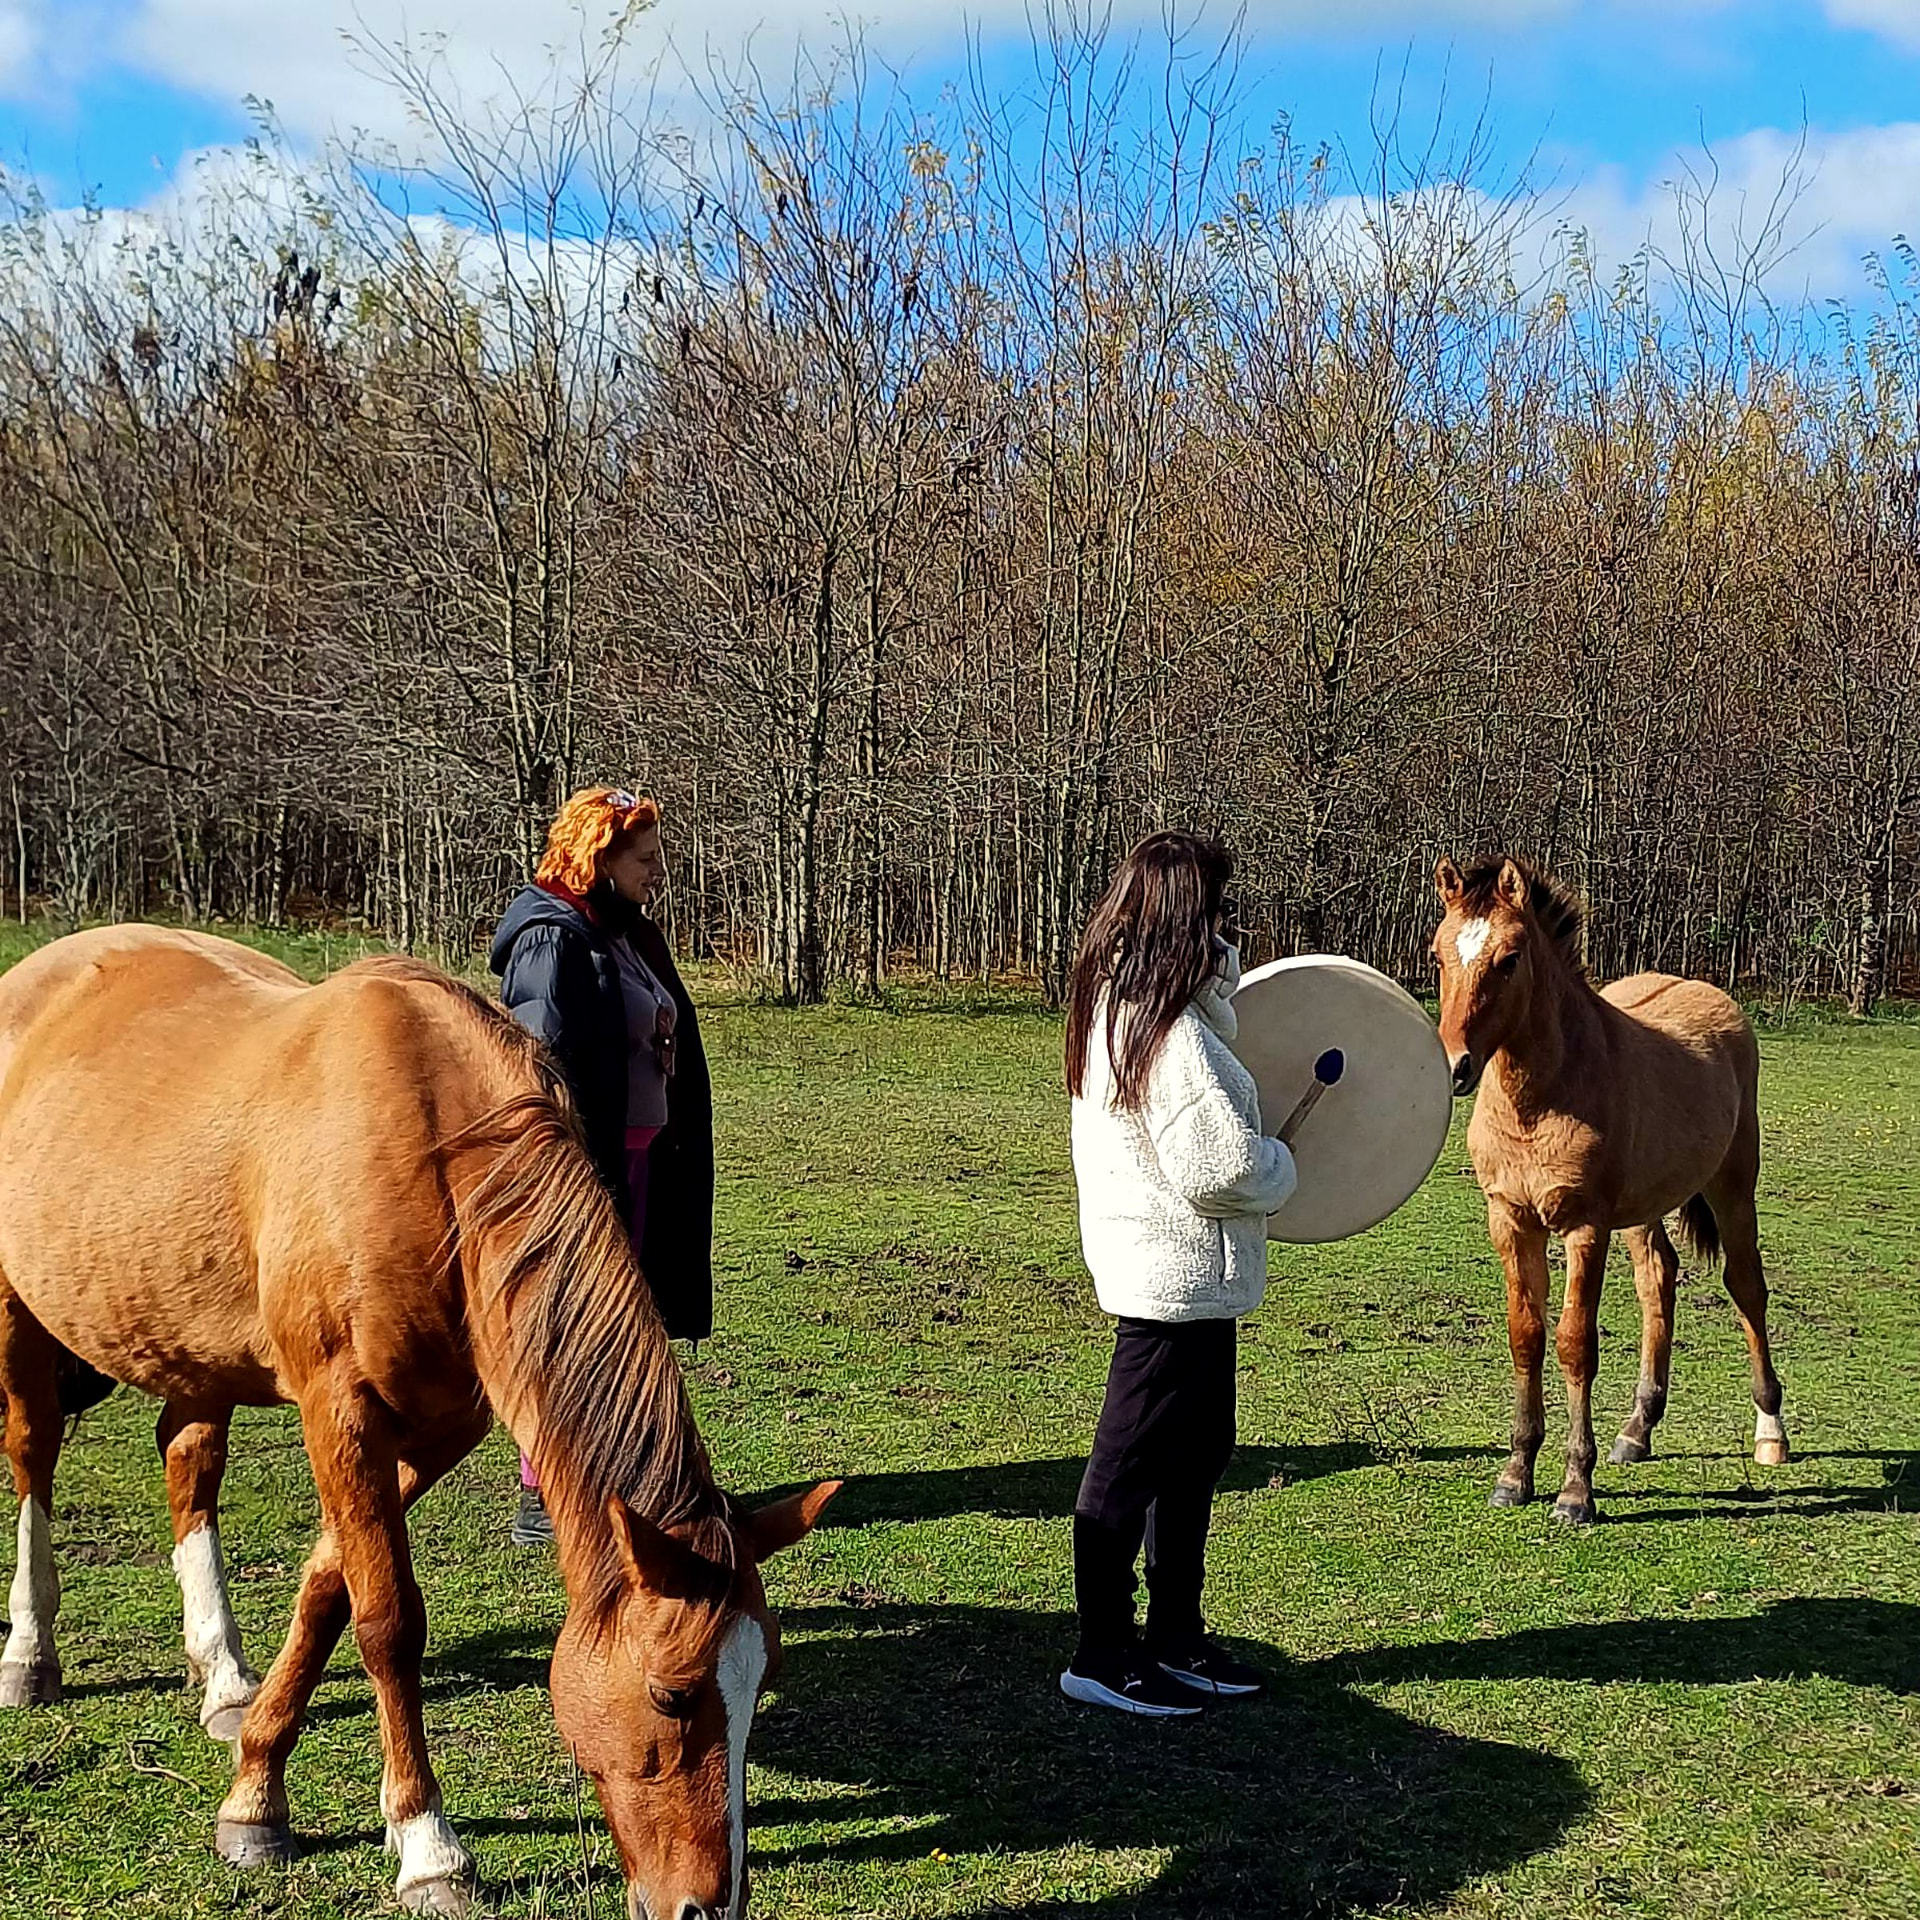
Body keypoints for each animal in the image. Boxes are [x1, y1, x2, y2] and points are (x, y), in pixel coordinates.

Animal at [0, 925, 838, 1919]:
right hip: (19, 1310)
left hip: (190, 1340)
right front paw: (427, 1844)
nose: (706, 1907)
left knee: (187, 1462)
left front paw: (254, 1786)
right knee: (33, 1452)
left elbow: (329, 1586)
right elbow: (387, 1619)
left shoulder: (437, 1426)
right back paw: (29, 1652)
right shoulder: (340, 1409)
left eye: (766, 1676)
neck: (434, 1162)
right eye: (672, 1695)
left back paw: (224, 1673)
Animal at [1430, 856, 1789, 1525]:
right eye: (1439, 956)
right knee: (1659, 1279)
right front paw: (1515, 1474)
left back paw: (1770, 1431)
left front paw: (1575, 1490)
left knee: (1746, 1286)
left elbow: (1575, 1343)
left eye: (1510, 958)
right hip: (1644, 1209)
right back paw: (1637, 1429)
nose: (1455, 1066)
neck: (1537, 1103)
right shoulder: (1510, 1219)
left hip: (1732, 1184)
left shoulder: (1584, 1225)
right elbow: (1526, 1336)